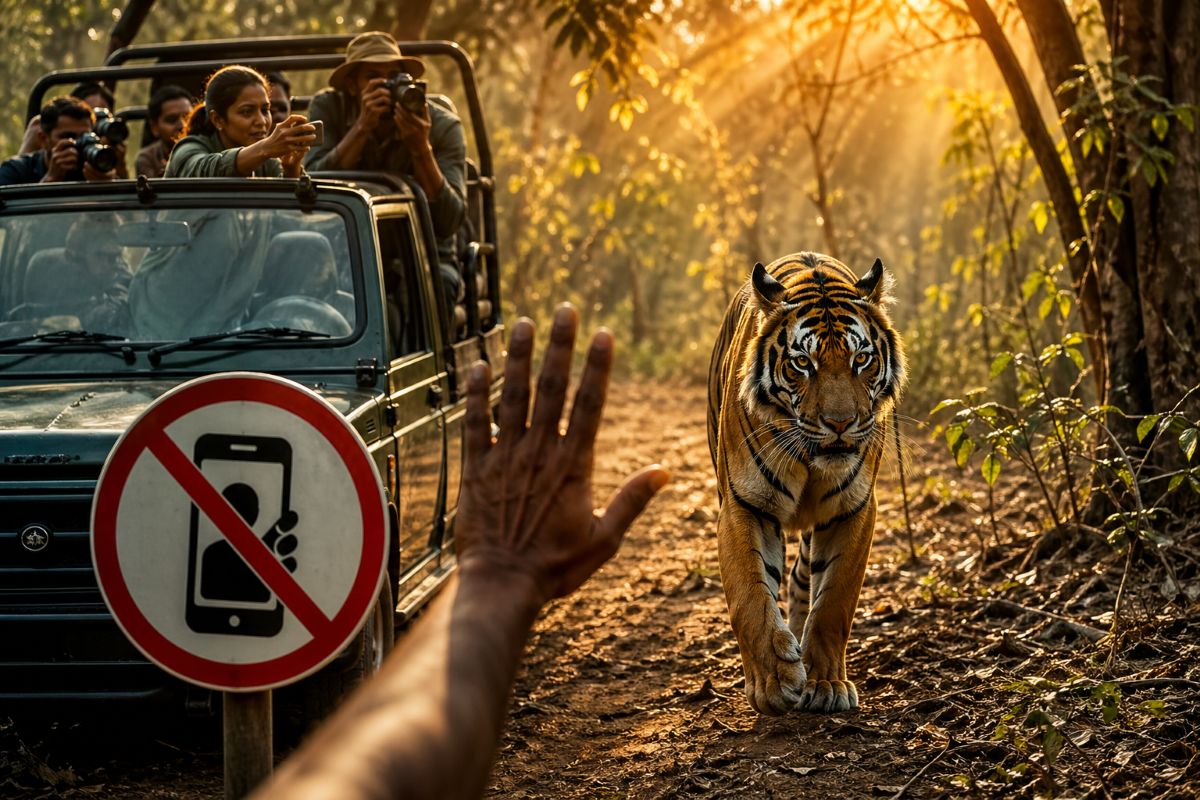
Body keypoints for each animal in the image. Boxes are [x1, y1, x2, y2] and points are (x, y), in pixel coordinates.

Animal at [707, 251, 906, 715]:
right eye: (803, 363)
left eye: (861, 360)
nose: (840, 423)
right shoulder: (744, 505)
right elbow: (750, 596)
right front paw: (775, 683)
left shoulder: (854, 508)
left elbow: (834, 603)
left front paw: (826, 683)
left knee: (803, 578)